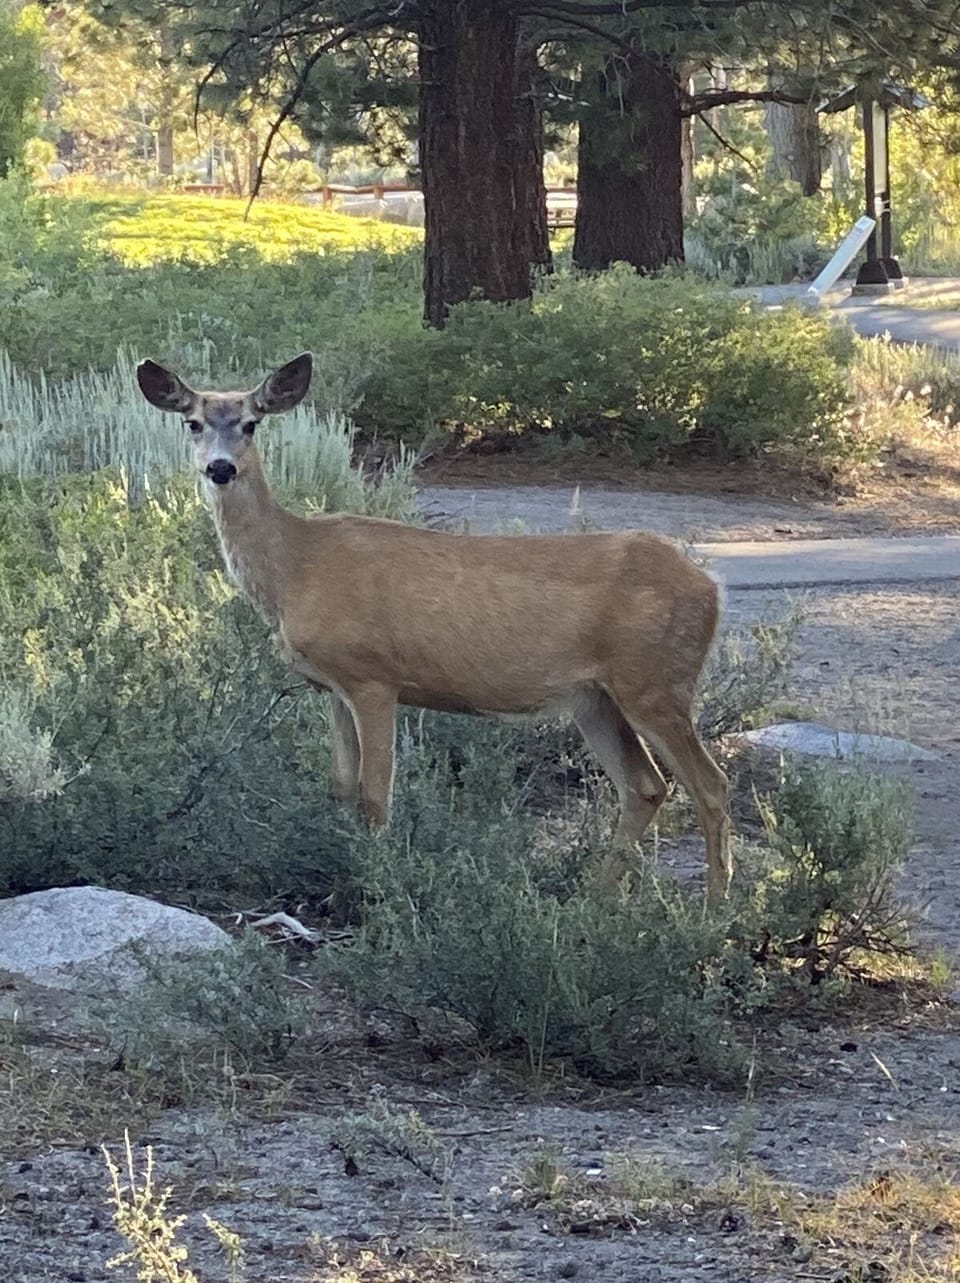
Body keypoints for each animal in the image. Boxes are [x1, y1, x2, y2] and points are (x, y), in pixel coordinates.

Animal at [136, 353, 732, 902]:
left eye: (251, 423)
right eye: (193, 422)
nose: (220, 469)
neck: (295, 566)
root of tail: (711, 588)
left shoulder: (374, 677)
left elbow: (376, 793)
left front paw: (378, 888)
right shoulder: (330, 687)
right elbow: (340, 787)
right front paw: (340, 879)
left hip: (654, 681)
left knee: (710, 784)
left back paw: (712, 910)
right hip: (597, 698)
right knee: (645, 786)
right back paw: (595, 900)